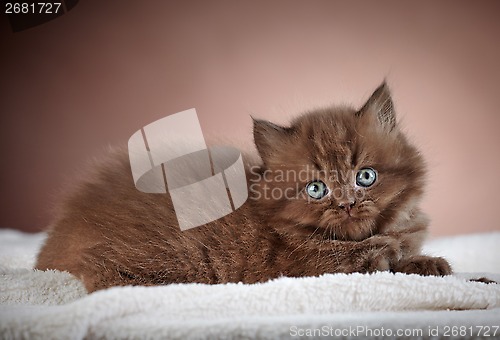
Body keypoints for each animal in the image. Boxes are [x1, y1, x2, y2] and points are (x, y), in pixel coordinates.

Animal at [37, 82, 452, 292]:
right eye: (316, 189)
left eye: (365, 176)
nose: (347, 204)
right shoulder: (303, 266)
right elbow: (374, 261)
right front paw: (408, 257)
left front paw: (430, 262)